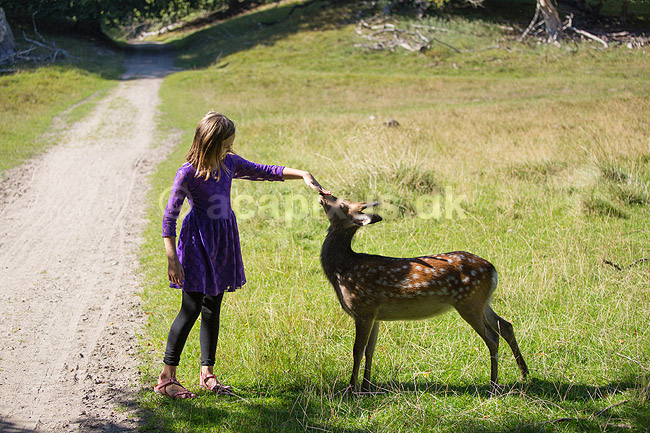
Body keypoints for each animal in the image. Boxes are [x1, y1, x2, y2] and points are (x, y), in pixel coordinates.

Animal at [318, 194, 529, 395]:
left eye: (342, 204)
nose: (322, 195)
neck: (341, 270)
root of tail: (493, 270)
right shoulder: (375, 315)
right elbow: (370, 350)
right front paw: (365, 387)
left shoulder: (363, 308)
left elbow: (357, 350)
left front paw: (351, 389)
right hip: (483, 302)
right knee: (506, 326)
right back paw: (523, 373)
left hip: (469, 302)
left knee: (493, 337)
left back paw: (494, 384)